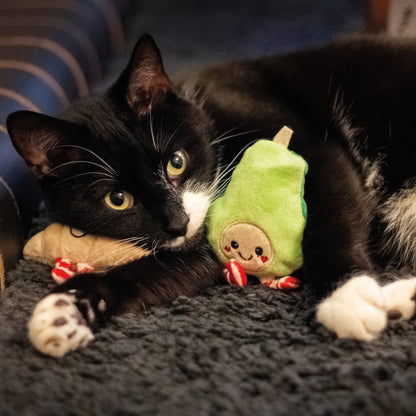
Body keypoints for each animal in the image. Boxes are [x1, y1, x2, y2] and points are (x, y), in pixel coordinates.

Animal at [5, 34, 416, 356]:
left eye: (176, 162)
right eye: (116, 199)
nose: (178, 222)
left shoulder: (308, 144)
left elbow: (330, 215)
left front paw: (347, 296)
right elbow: (172, 267)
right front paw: (64, 309)